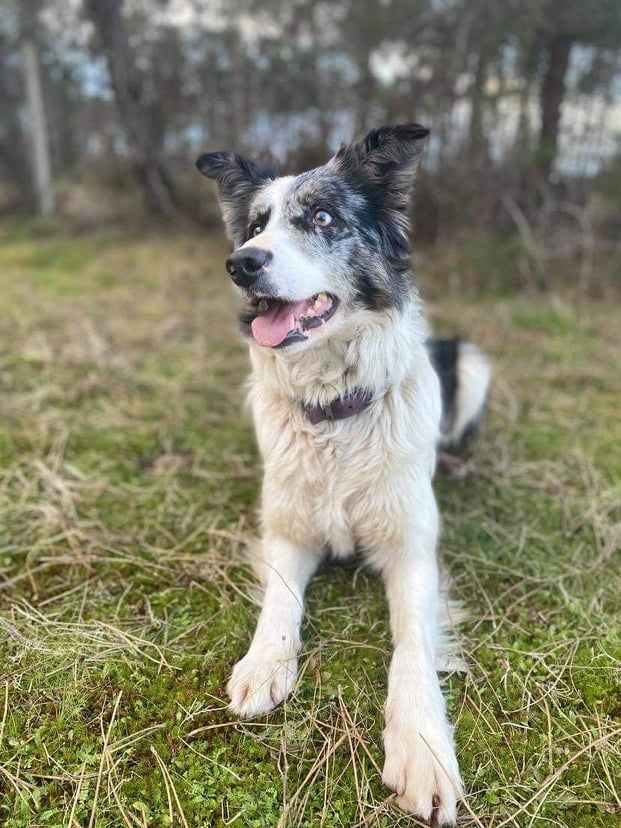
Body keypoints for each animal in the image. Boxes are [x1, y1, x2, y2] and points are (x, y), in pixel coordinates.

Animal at [195, 123, 490, 820]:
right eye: (255, 225)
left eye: (323, 218)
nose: (241, 263)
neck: (335, 410)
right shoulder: (287, 531)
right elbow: (280, 600)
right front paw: (264, 665)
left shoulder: (412, 549)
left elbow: (412, 646)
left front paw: (422, 745)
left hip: (471, 362)